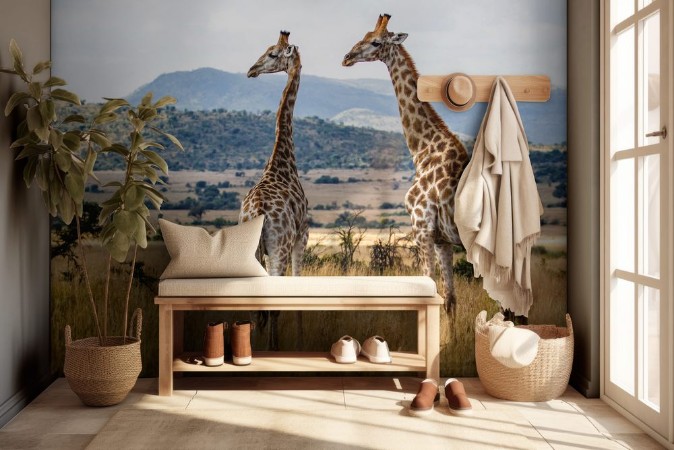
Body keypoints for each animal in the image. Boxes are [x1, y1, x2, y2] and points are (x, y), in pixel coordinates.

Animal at [343, 14, 468, 311]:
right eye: (364, 35)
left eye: (376, 42)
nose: (347, 57)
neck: (423, 150)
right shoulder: (442, 239)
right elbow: (450, 299)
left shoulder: (422, 228)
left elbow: (431, 291)